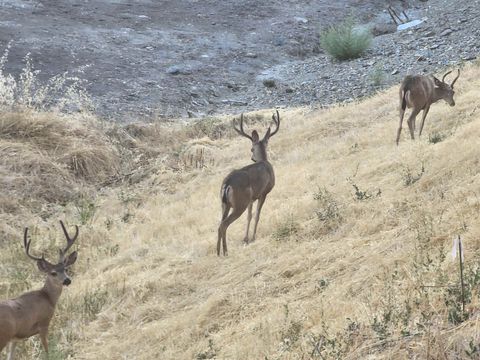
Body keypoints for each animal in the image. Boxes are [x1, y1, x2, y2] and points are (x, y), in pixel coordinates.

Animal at [0, 221, 79, 358]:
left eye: (66, 269)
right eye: (53, 273)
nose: (67, 280)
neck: (47, 297)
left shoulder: (15, 338)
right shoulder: (43, 323)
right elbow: (47, 351)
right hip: (4, 335)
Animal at [217, 110, 280, 256]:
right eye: (252, 149)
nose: (252, 158)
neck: (264, 161)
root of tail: (227, 183)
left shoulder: (251, 198)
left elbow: (249, 216)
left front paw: (245, 238)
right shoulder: (263, 192)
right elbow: (257, 215)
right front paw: (252, 237)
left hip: (225, 203)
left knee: (219, 224)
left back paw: (218, 251)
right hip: (240, 202)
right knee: (224, 224)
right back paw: (225, 252)